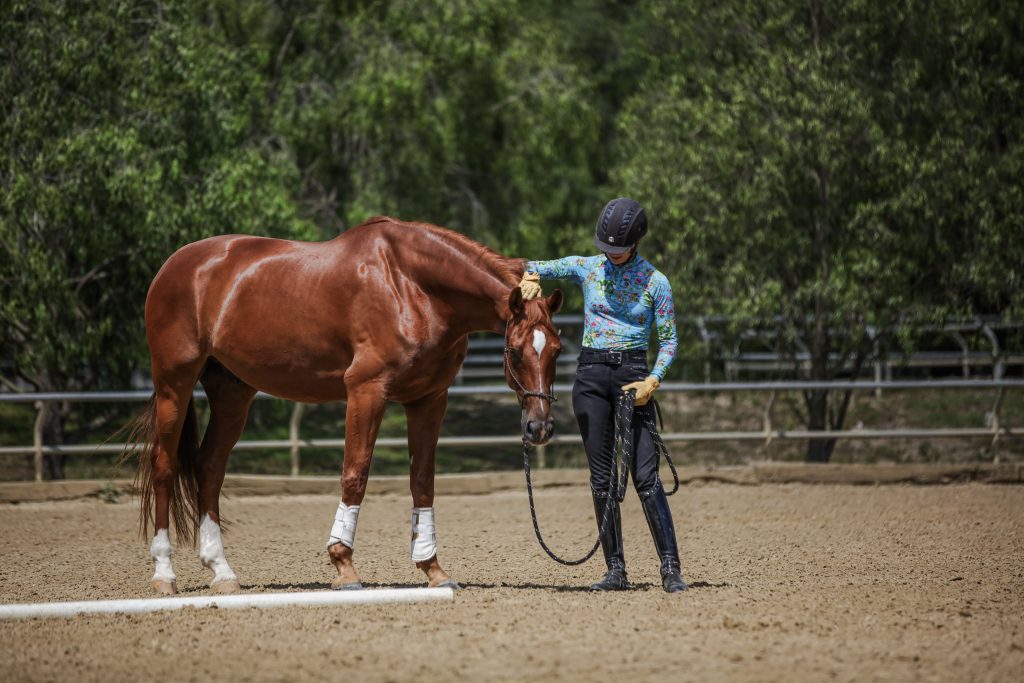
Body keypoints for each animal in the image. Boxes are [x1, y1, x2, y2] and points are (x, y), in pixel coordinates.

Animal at [122, 216, 564, 594]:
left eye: (556, 350)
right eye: (514, 350)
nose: (539, 428)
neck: (412, 285)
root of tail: (176, 264)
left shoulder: (428, 400)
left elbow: (423, 482)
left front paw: (433, 569)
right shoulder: (367, 390)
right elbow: (356, 474)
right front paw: (344, 565)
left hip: (232, 392)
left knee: (210, 467)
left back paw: (222, 571)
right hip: (174, 384)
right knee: (164, 466)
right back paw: (164, 573)